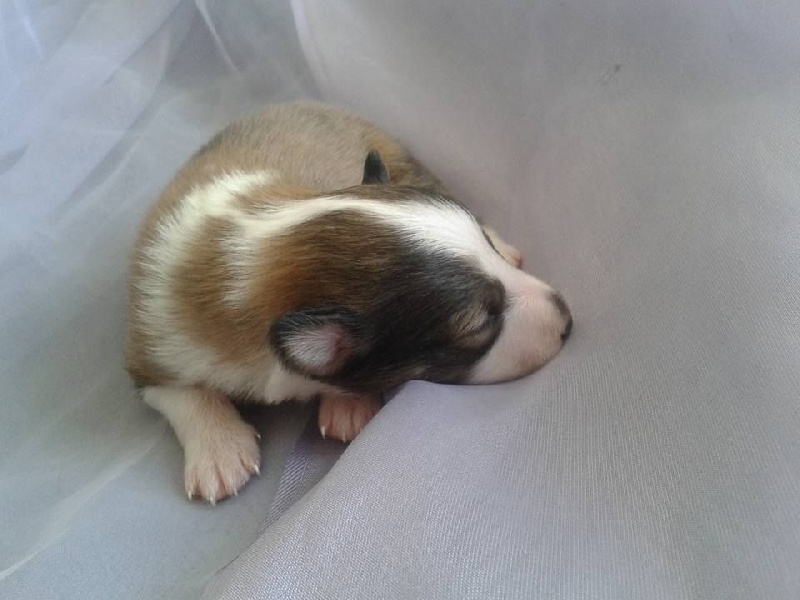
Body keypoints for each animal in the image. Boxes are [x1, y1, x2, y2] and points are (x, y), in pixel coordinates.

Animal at [126, 102, 572, 504]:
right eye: (479, 324)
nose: (567, 318)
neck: (260, 255)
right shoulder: (151, 344)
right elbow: (178, 392)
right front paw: (220, 451)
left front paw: (348, 405)